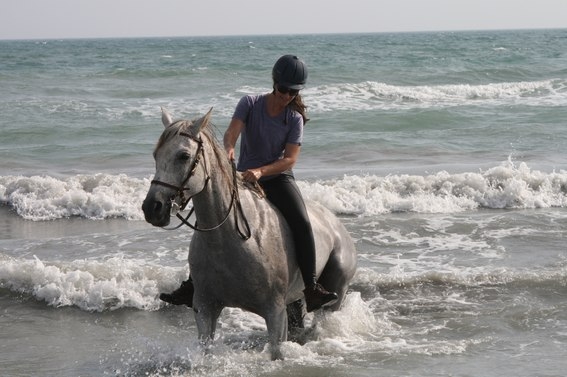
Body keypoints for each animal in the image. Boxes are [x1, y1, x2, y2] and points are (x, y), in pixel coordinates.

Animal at [141, 108, 356, 358]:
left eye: (183, 156)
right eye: (156, 155)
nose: (152, 208)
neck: (231, 240)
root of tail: (337, 225)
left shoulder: (275, 313)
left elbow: (276, 351)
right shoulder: (205, 308)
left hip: (336, 294)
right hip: (294, 300)